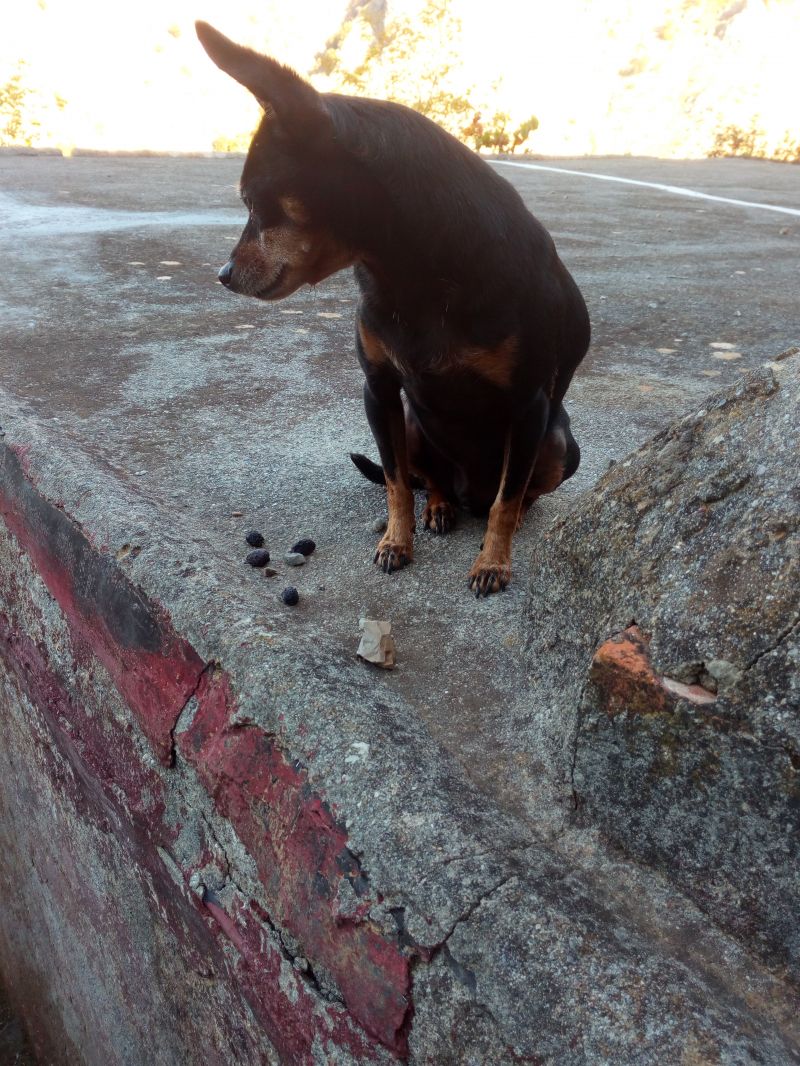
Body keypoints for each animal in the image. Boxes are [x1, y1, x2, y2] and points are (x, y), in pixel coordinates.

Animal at [196, 22, 590, 596]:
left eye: (252, 201)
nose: (223, 274)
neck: (412, 272)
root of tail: (467, 489)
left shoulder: (529, 405)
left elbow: (508, 497)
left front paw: (493, 561)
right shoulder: (378, 390)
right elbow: (396, 482)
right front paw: (396, 543)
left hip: (559, 443)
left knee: (510, 494)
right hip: (409, 420)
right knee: (427, 478)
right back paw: (442, 506)